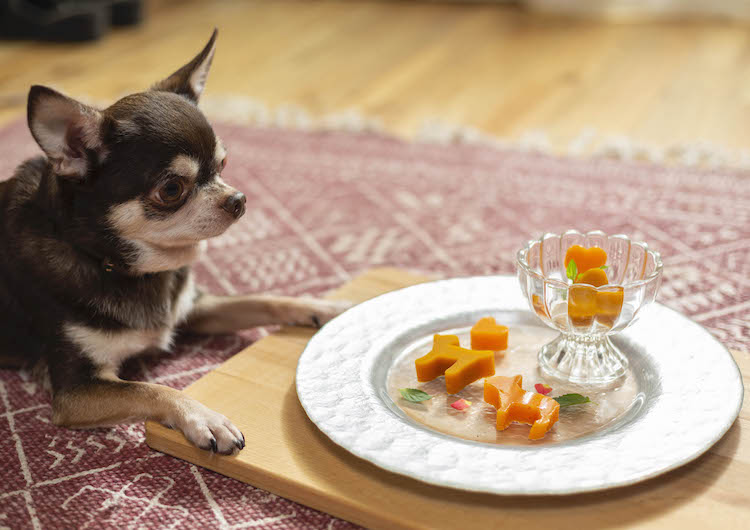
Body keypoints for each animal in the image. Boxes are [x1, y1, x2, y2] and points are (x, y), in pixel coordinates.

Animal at [0, 28, 352, 452]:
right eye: (172, 189)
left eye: (223, 164)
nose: (238, 199)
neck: (117, 264)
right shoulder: (76, 390)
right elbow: (151, 389)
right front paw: (205, 418)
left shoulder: (193, 308)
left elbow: (264, 299)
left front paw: (325, 307)